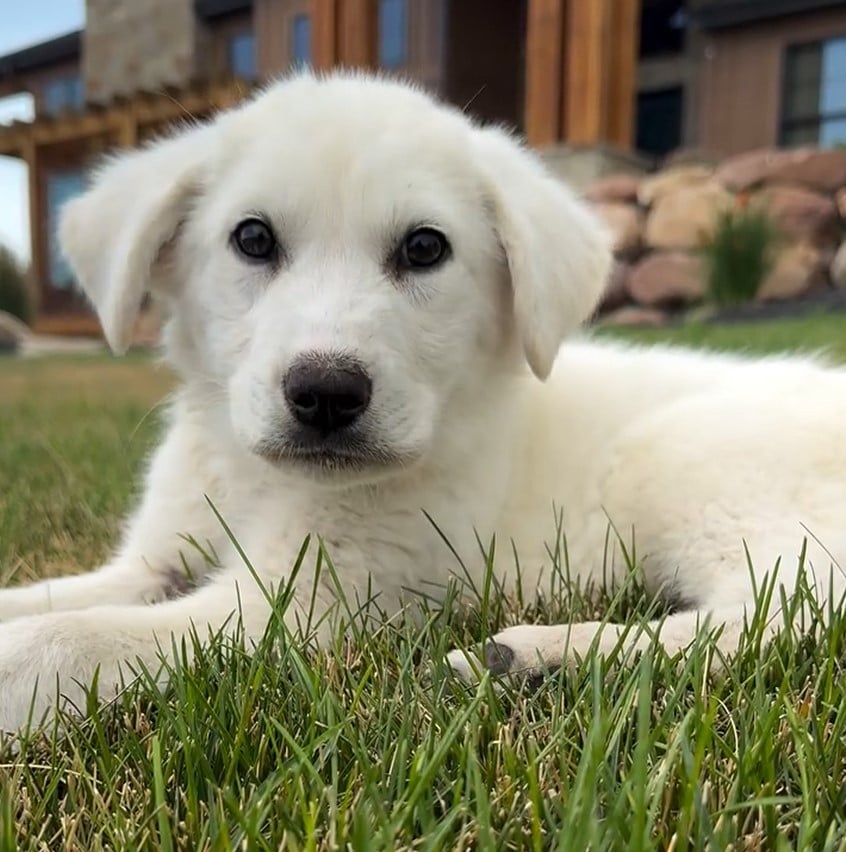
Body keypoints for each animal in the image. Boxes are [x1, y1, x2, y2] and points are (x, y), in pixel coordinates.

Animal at [1, 70, 846, 728]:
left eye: (424, 248)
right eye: (253, 239)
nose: (326, 393)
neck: (258, 484)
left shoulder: (309, 602)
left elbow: (81, 635)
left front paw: (21, 670)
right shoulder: (158, 561)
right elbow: (56, 600)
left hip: (688, 463)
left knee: (789, 611)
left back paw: (534, 654)